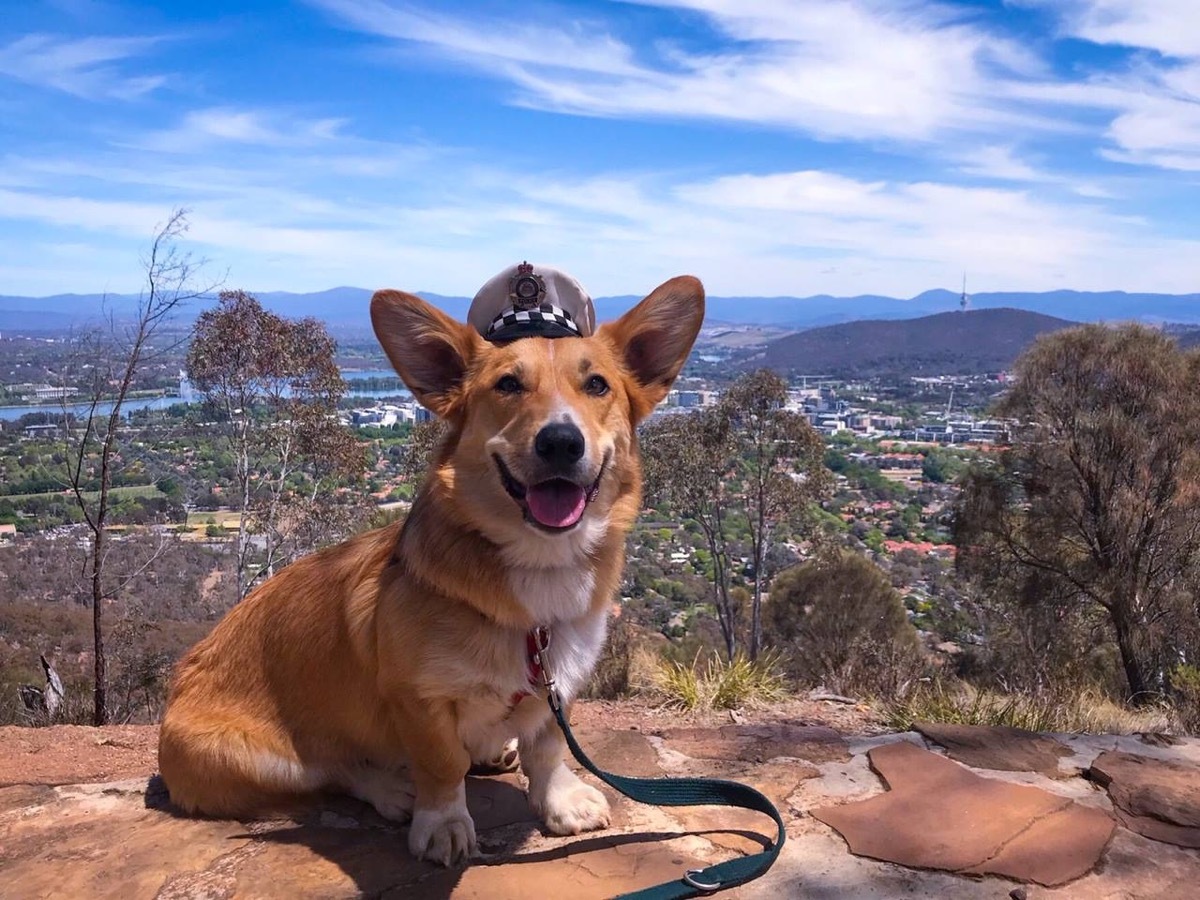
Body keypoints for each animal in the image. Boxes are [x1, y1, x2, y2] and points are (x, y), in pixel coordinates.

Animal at [158, 273, 700, 868]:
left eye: (598, 385)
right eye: (508, 385)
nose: (561, 441)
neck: (538, 567)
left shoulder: (559, 683)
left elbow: (549, 746)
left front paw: (557, 801)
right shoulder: (419, 700)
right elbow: (442, 765)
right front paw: (443, 824)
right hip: (249, 756)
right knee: (329, 771)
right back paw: (394, 788)